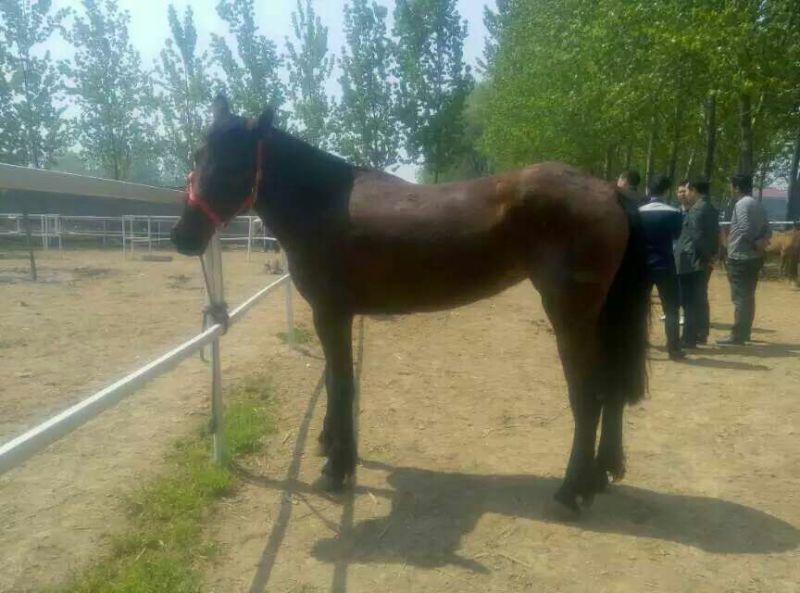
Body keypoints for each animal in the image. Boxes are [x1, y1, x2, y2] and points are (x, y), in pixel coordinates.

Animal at [171, 96, 650, 513]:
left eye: (234, 163)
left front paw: (337, 468)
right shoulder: (332, 316)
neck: (323, 202)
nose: (183, 236)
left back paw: (572, 490)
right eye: (197, 153)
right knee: (611, 390)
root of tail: (608, 191)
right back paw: (602, 473)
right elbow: (334, 379)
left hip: (570, 316)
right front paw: (330, 445)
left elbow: (342, 384)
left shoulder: (332, 314)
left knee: (589, 394)